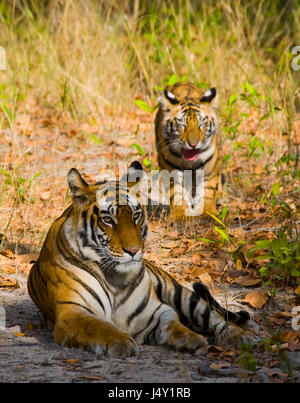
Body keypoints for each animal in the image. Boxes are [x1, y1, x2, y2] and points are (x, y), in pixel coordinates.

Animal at [28, 163, 258, 358]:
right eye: (108, 219)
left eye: (136, 215)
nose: (133, 250)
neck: (115, 279)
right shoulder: (73, 311)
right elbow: (98, 326)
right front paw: (120, 342)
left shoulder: (155, 312)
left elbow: (174, 325)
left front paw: (191, 339)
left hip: (183, 295)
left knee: (218, 319)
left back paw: (245, 337)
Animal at [155, 82, 223, 221]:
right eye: (182, 125)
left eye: (201, 125)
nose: (193, 144)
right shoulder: (169, 164)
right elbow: (176, 191)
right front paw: (179, 214)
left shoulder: (211, 161)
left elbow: (208, 188)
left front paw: (207, 212)